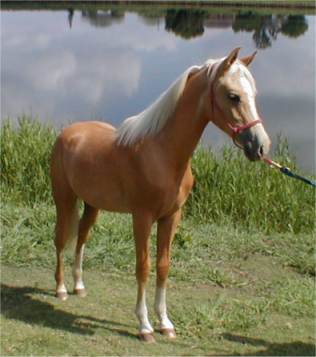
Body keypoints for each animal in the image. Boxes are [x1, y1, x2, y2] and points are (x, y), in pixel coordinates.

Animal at [50, 46, 270, 340]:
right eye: (233, 96)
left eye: (253, 95)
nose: (261, 146)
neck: (160, 153)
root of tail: (69, 133)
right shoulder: (142, 218)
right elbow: (143, 267)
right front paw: (144, 326)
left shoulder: (171, 217)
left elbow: (163, 267)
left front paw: (165, 323)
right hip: (64, 199)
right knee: (61, 238)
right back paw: (62, 289)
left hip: (92, 205)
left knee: (82, 237)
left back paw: (79, 285)